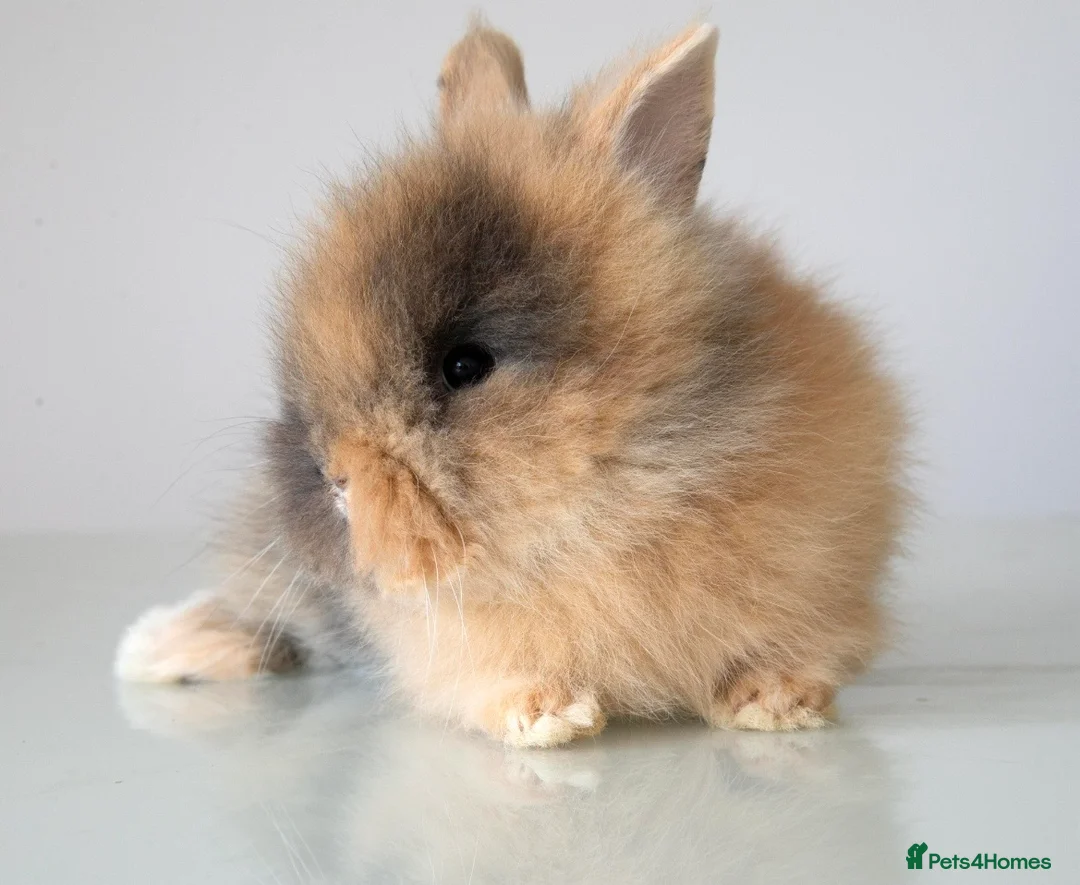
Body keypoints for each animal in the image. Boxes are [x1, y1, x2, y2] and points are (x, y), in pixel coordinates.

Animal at [116, 20, 908, 748]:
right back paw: (159, 646)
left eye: (465, 365)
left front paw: (776, 702)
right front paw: (548, 716)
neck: (624, 492)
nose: (330, 479)